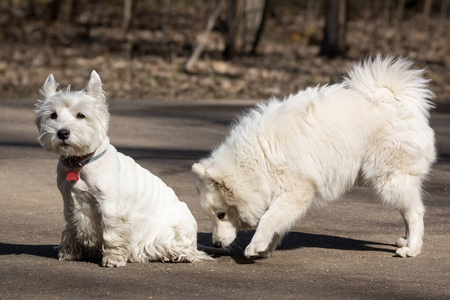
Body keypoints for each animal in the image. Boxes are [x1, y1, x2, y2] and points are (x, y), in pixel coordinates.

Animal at [34, 71, 211, 268]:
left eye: (81, 115)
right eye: (53, 115)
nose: (63, 133)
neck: (80, 163)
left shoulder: (110, 206)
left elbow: (112, 233)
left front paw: (112, 259)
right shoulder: (70, 203)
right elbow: (72, 227)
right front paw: (69, 252)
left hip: (174, 232)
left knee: (186, 252)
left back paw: (170, 255)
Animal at [192, 55, 436, 258]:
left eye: (221, 215)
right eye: (213, 215)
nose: (215, 245)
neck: (254, 162)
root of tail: (396, 99)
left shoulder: (297, 192)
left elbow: (269, 218)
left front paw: (255, 245)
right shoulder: (286, 195)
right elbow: (276, 222)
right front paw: (266, 248)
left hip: (390, 179)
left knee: (415, 213)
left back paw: (412, 249)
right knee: (408, 213)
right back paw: (405, 241)